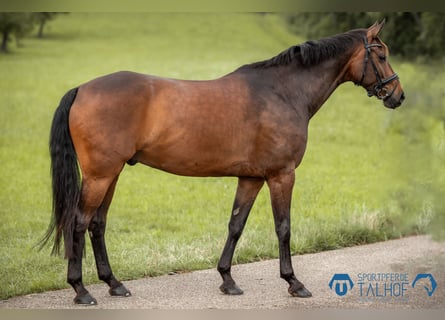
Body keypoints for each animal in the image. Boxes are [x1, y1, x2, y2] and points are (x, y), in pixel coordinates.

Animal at [42, 20, 402, 304]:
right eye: (382, 55)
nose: (398, 95)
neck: (283, 92)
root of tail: (82, 89)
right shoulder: (281, 175)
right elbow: (283, 227)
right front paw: (293, 282)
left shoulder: (252, 178)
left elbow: (235, 225)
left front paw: (227, 279)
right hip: (100, 175)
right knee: (79, 222)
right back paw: (81, 290)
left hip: (111, 175)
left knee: (97, 224)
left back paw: (114, 284)